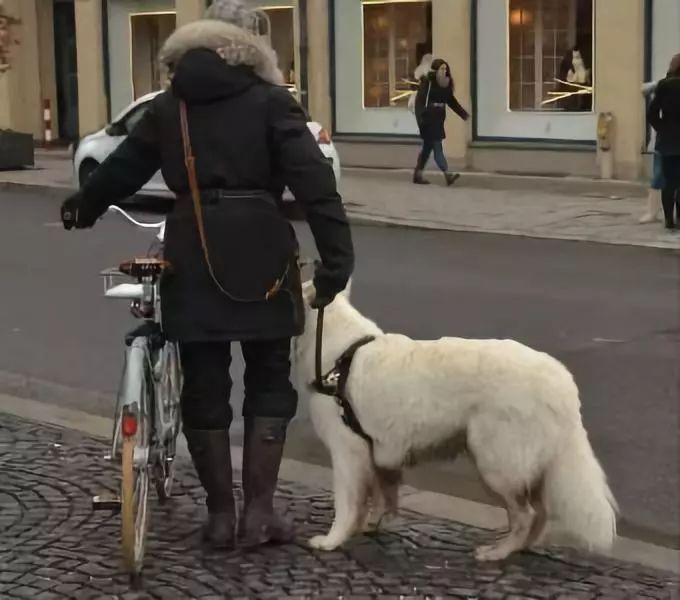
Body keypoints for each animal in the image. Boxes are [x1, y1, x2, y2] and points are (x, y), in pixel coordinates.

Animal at [290, 284, 620, 560]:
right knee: (539, 514)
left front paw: (332, 540)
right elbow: (382, 496)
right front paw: (371, 524)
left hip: (495, 464)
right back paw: (519, 548)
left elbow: (347, 503)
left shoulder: (348, 452)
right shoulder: (377, 454)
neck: (337, 355)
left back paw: (498, 552)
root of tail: (563, 383)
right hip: (521, 465)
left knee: (526, 515)